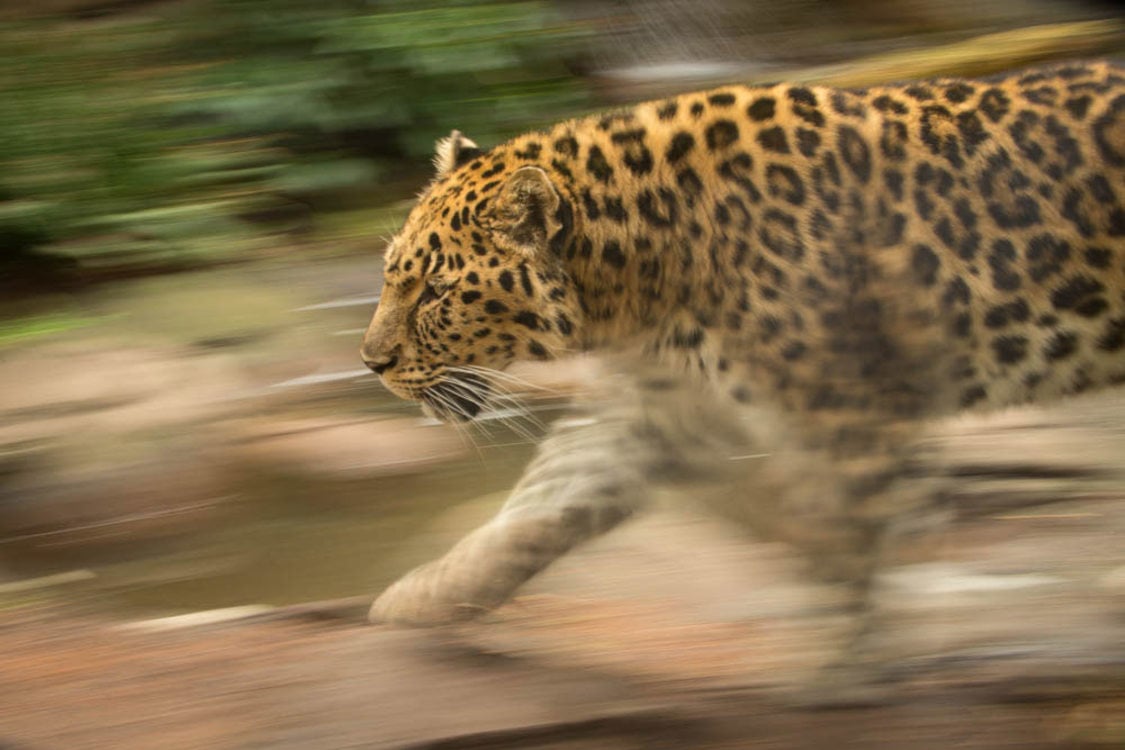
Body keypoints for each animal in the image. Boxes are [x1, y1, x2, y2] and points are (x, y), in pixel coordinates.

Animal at [362, 58, 1125, 670]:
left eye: (434, 292)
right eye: (391, 274)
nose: (371, 362)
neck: (634, 282)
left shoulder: (847, 413)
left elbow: (850, 532)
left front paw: (837, 665)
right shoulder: (655, 407)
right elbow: (540, 507)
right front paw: (423, 595)